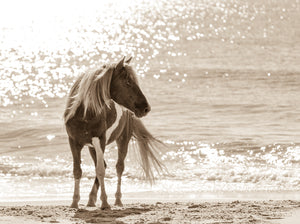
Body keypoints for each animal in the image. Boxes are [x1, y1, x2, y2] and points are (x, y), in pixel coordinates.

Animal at [63, 56, 165, 210]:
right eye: (128, 82)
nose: (146, 108)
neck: (84, 113)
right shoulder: (74, 142)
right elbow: (77, 171)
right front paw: (74, 203)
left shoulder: (100, 140)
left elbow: (100, 171)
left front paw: (105, 203)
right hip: (92, 147)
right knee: (104, 165)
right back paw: (91, 199)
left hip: (122, 140)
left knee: (119, 168)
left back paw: (117, 200)